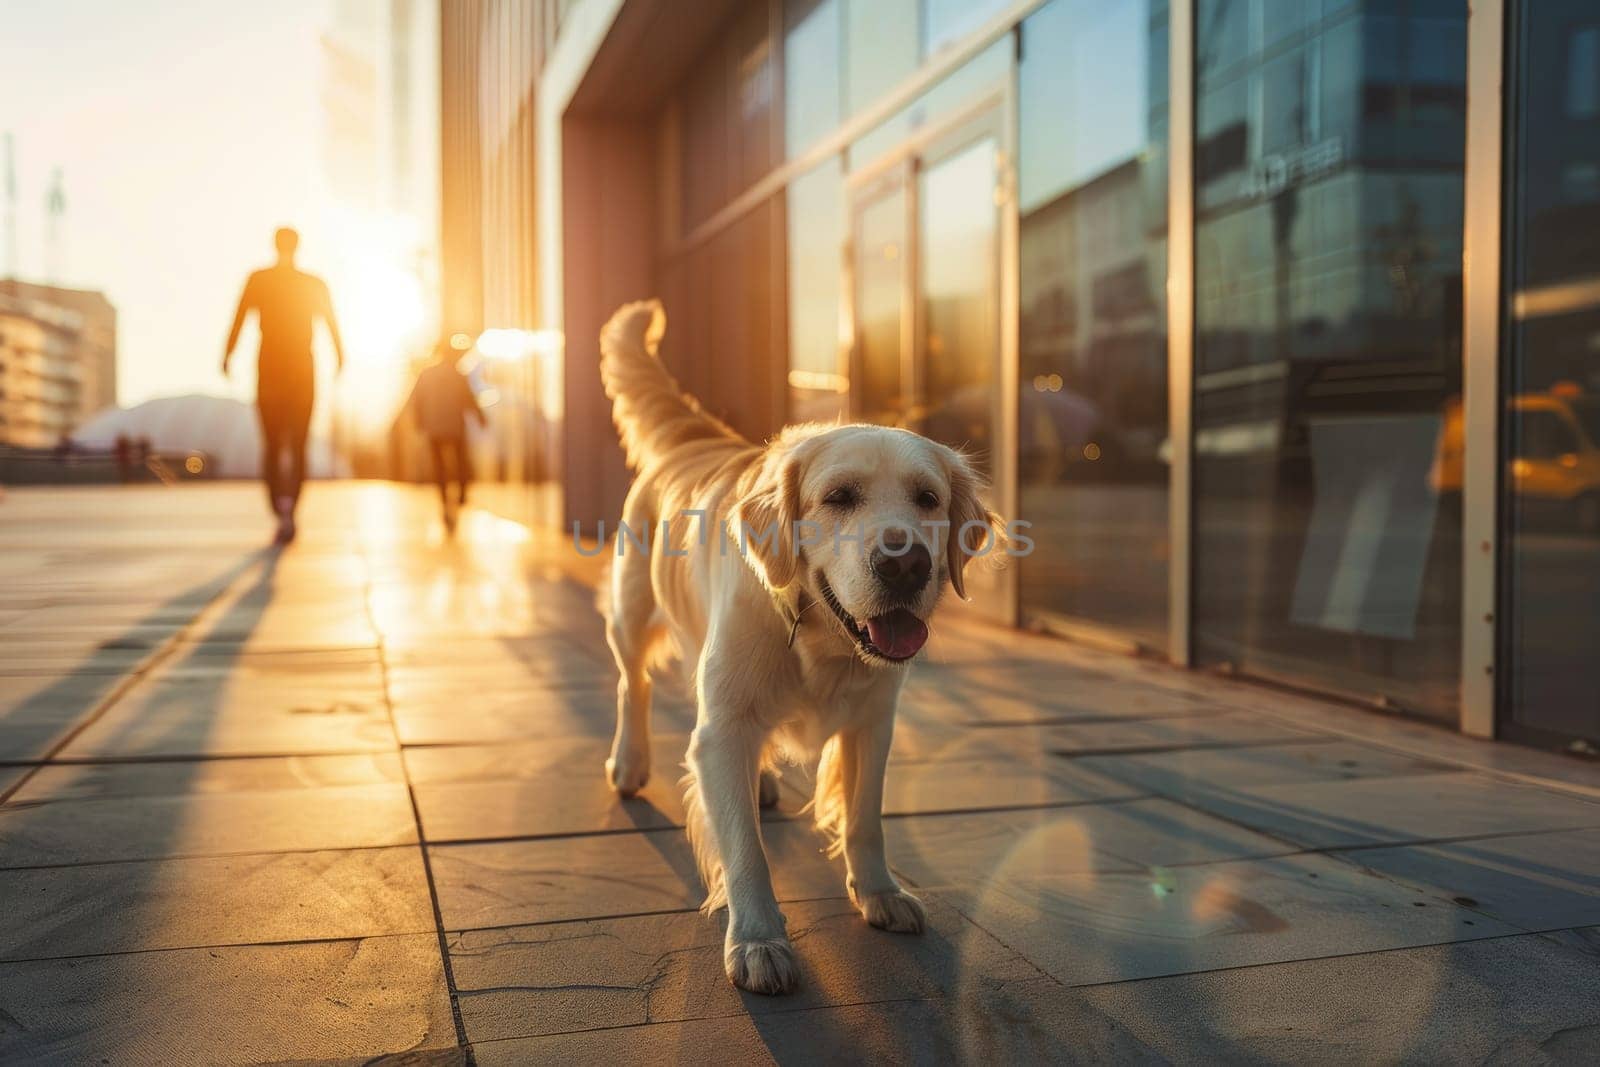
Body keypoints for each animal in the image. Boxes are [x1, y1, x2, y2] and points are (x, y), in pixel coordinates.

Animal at [598, 299, 998, 991]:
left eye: (928, 498)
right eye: (838, 497)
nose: (906, 565)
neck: (822, 642)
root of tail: (697, 438)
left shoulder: (874, 721)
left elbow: (864, 818)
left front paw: (879, 892)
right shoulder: (723, 727)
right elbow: (745, 849)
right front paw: (758, 939)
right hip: (630, 613)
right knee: (634, 683)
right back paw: (629, 761)